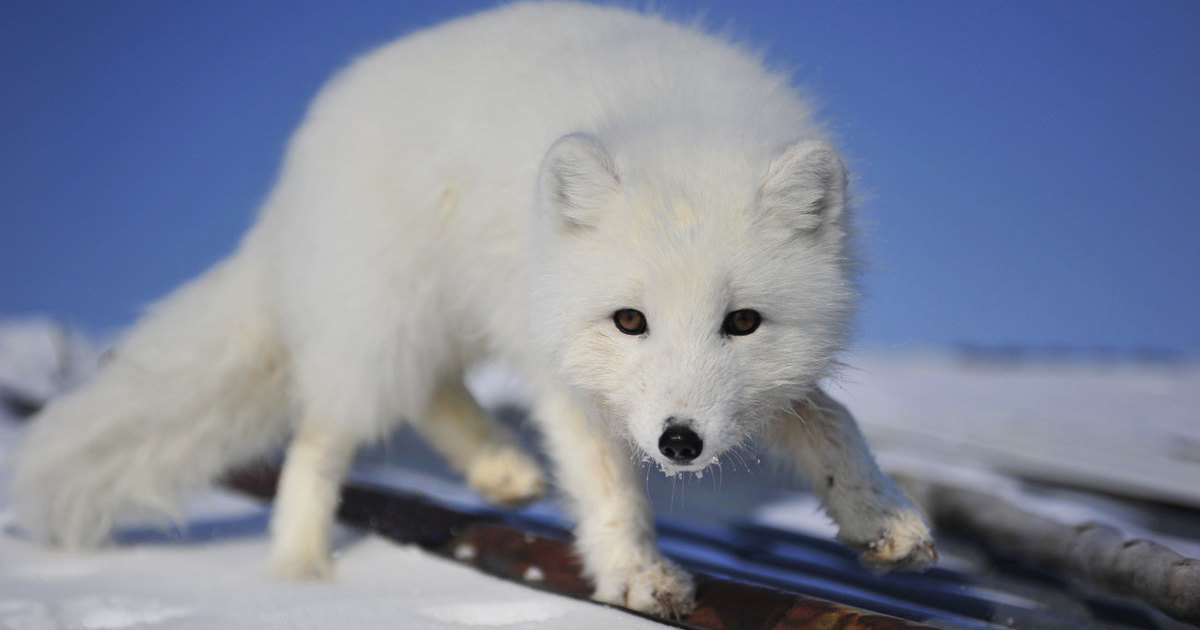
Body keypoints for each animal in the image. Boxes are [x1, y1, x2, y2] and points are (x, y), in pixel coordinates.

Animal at [16, 2, 936, 614]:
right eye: (628, 321)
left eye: (741, 323)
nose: (680, 443)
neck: (678, 124)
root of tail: (297, 166)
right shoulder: (564, 370)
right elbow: (606, 484)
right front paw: (634, 573)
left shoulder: (767, 381)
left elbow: (831, 422)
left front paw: (883, 519)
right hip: (382, 325)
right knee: (319, 440)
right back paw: (304, 577)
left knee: (428, 391)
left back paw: (498, 468)